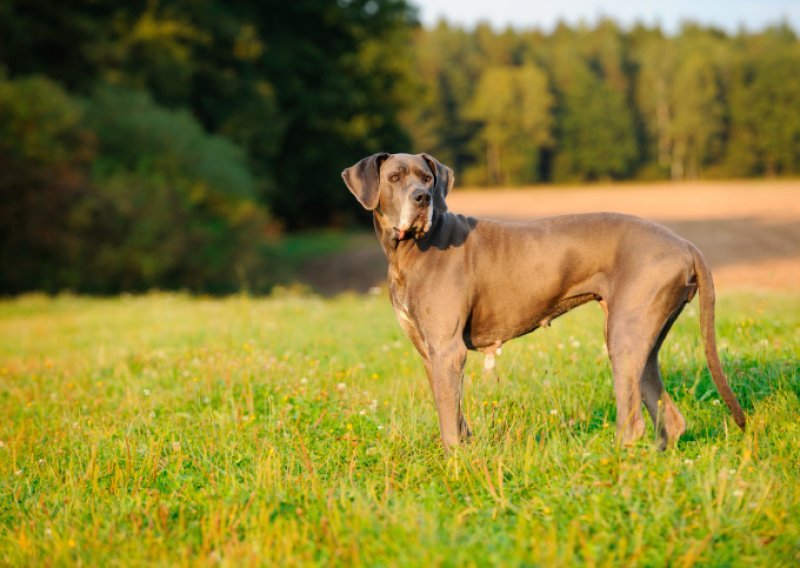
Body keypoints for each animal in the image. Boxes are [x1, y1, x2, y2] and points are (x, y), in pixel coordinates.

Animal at [340, 153, 748, 450]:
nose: (422, 198)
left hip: (624, 335)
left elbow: (449, 423)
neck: (410, 249)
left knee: (632, 423)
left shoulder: (447, 350)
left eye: (427, 178)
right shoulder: (430, 353)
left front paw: (454, 465)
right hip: (644, 339)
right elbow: (452, 413)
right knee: (669, 418)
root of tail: (686, 244)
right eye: (395, 178)